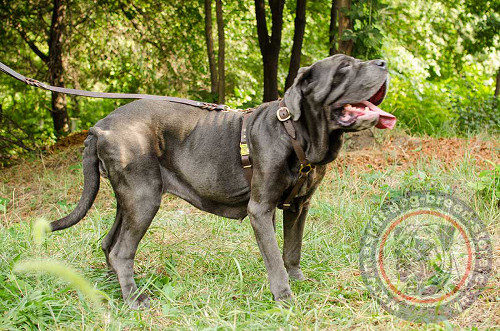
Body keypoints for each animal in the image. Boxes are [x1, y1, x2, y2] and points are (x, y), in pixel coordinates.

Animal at [49, 53, 394, 308]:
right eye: (344, 67)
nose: (382, 62)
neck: (295, 134)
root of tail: (99, 128)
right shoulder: (261, 209)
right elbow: (274, 258)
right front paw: (285, 298)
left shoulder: (299, 206)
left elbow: (292, 250)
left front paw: (299, 281)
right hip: (143, 198)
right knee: (121, 251)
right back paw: (135, 299)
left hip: (130, 199)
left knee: (109, 244)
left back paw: (115, 289)